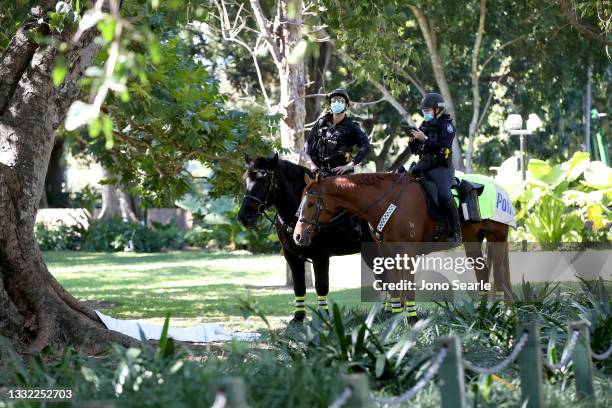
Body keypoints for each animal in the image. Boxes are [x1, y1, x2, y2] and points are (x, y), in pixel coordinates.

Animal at [294, 172, 512, 312]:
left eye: (311, 204)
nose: (297, 236)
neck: (387, 202)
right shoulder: (387, 252)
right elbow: (395, 288)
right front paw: (397, 321)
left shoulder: (407, 252)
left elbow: (408, 288)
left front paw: (412, 320)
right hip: (473, 241)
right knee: (483, 274)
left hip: (496, 238)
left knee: (500, 277)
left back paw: (502, 312)